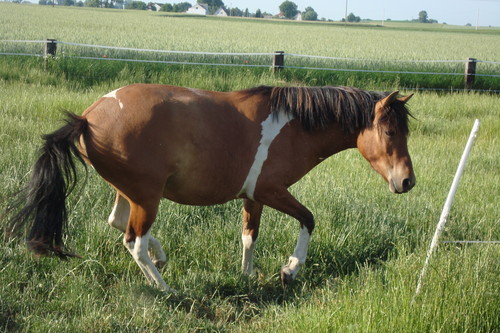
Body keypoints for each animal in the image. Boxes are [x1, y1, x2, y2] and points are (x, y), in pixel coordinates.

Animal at [5, 83, 416, 290]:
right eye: (390, 132)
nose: (407, 181)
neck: (293, 124)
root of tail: (87, 118)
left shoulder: (253, 196)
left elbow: (249, 236)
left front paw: (248, 276)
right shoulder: (271, 191)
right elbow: (308, 220)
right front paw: (290, 270)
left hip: (130, 192)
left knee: (119, 225)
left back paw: (161, 258)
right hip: (147, 196)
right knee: (133, 240)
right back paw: (165, 288)